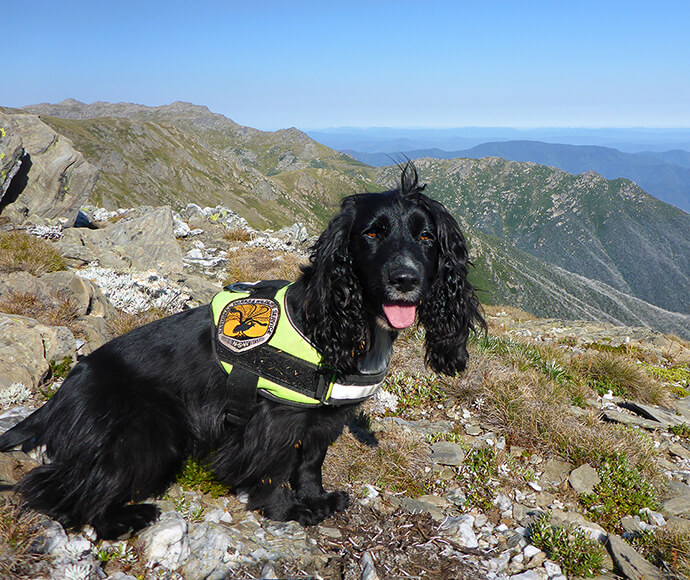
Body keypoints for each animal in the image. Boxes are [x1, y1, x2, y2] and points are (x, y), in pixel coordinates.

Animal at [0, 163, 484, 540]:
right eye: (371, 233)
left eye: (427, 238)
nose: (405, 279)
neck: (341, 323)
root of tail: (61, 395)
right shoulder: (274, 420)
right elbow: (275, 469)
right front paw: (288, 511)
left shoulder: (322, 421)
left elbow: (310, 463)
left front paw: (316, 499)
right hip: (147, 431)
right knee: (62, 488)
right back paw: (123, 518)